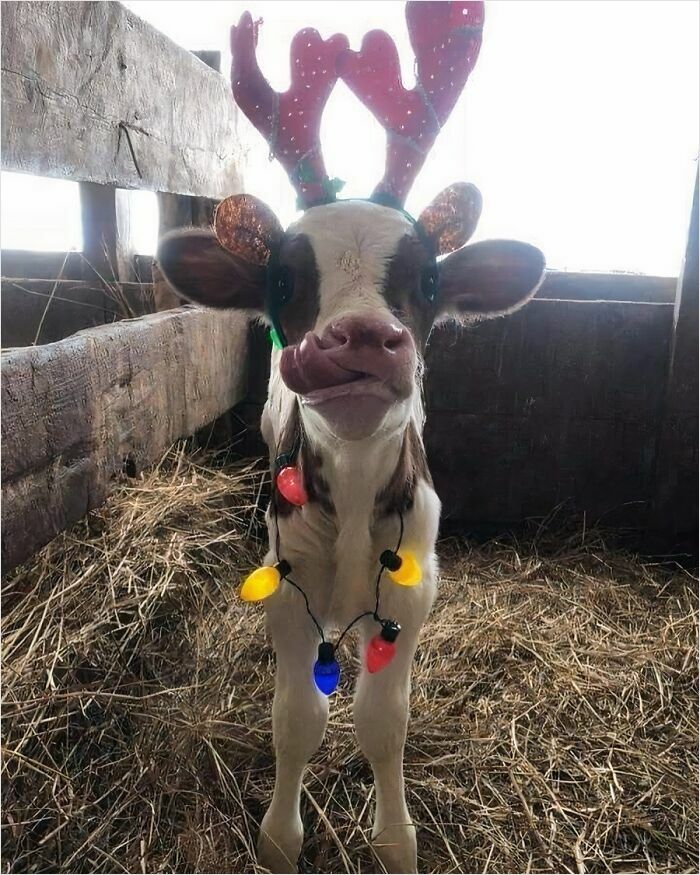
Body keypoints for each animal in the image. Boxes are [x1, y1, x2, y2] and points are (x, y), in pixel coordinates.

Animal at [156, 3, 544, 872]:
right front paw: (278, 837)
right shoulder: (286, 579)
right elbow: (298, 716)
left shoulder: (413, 588)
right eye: (283, 279)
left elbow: (382, 720)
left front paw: (396, 841)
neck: (361, 507)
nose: (361, 337)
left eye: (428, 279)